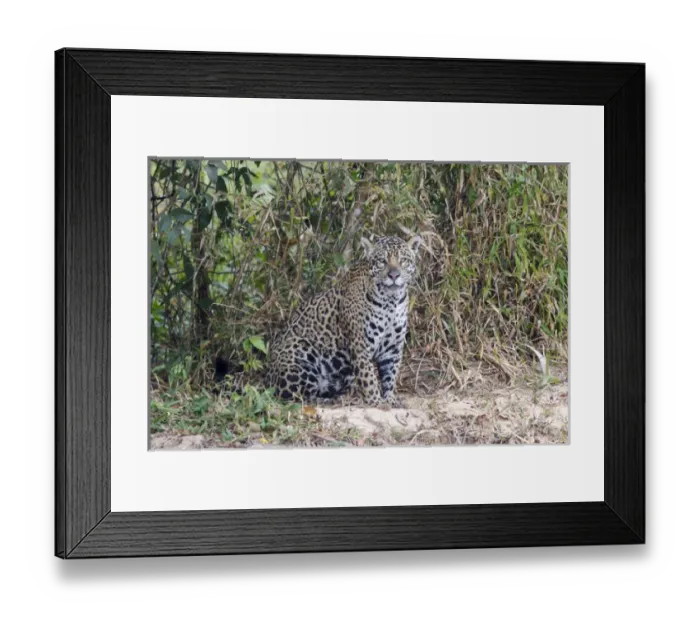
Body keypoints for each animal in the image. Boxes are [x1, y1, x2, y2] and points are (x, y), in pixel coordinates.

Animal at [216, 235, 421, 408]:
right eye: (382, 261)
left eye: (403, 260)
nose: (394, 275)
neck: (390, 302)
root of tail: (268, 378)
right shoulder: (361, 344)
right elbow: (369, 376)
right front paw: (376, 401)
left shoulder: (393, 347)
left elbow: (390, 375)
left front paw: (390, 399)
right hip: (301, 351)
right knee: (292, 395)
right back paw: (326, 401)